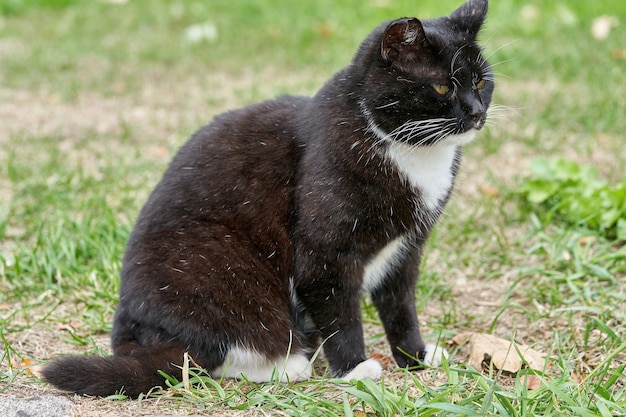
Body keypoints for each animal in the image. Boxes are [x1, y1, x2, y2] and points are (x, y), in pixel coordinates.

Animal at [42, 0, 492, 396]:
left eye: (481, 82)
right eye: (442, 86)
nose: (476, 112)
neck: (414, 154)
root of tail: (134, 337)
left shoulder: (406, 249)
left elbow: (401, 307)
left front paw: (415, 357)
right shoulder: (325, 254)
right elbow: (339, 313)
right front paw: (353, 369)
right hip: (222, 267)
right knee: (209, 356)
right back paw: (289, 365)